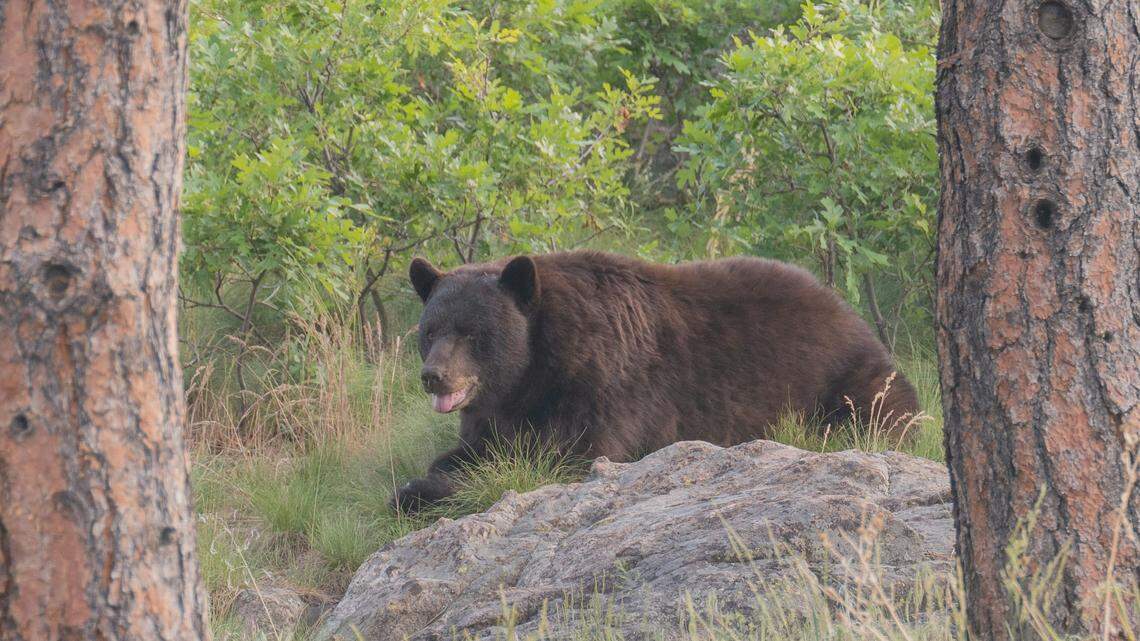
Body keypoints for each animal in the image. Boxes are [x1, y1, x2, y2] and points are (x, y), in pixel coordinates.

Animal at [392, 250, 919, 512]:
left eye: (472, 332)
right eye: (430, 330)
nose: (434, 377)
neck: (532, 370)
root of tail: (848, 311)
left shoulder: (601, 384)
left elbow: (566, 455)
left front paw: (417, 492)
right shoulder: (497, 409)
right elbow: (476, 447)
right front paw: (433, 475)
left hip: (844, 378)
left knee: (878, 412)